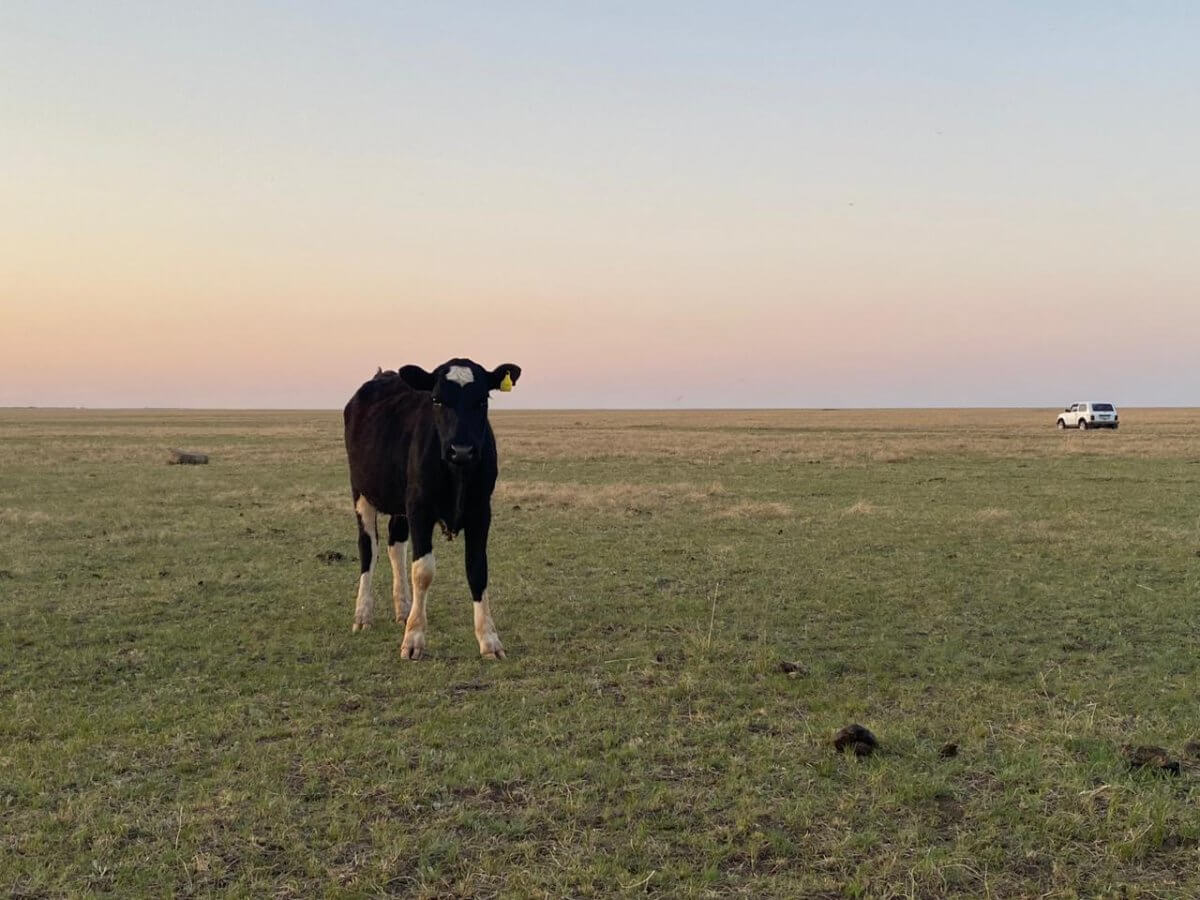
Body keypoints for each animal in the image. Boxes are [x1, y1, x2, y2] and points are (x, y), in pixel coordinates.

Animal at [343, 360, 520, 662]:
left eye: (482, 399)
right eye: (437, 399)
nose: (461, 450)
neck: (457, 473)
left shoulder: (481, 511)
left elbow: (478, 569)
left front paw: (489, 640)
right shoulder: (420, 508)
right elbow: (423, 571)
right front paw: (414, 638)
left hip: (399, 503)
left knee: (395, 546)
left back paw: (404, 609)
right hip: (362, 492)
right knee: (369, 548)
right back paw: (363, 614)